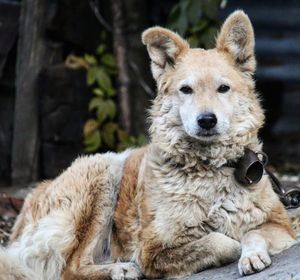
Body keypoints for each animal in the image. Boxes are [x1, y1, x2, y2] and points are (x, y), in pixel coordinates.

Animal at [0, 9, 296, 278]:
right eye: (186, 90)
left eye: (223, 88)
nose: (206, 120)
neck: (209, 168)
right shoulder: (151, 250)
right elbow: (221, 241)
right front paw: (233, 246)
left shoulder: (281, 224)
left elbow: (253, 233)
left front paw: (252, 254)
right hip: (103, 171)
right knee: (71, 269)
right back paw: (120, 269)